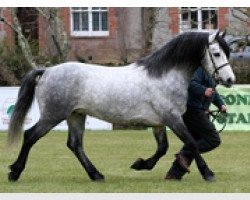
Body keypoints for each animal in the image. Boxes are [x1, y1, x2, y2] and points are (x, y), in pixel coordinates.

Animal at [7, 30, 234, 183]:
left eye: (227, 52)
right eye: (216, 53)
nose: (230, 79)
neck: (164, 76)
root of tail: (46, 71)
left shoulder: (159, 123)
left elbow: (163, 148)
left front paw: (141, 164)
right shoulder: (173, 118)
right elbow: (192, 143)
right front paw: (208, 173)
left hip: (76, 115)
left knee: (75, 144)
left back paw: (96, 175)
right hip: (53, 115)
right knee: (30, 135)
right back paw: (14, 172)